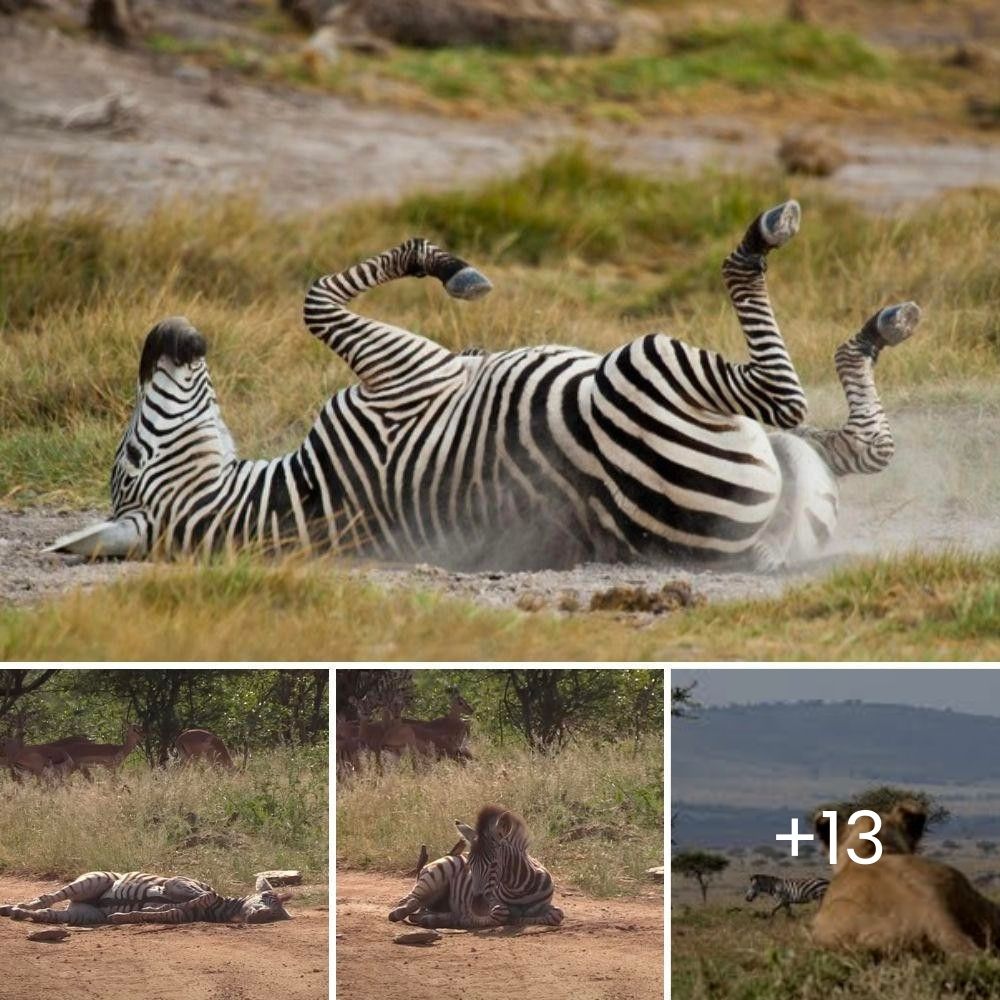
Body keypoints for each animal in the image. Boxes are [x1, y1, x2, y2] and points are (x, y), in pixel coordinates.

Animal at [47, 199, 920, 572]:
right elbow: (316, 300)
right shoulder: (400, 374)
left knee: (857, 445)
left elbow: (321, 298)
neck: (292, 504)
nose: (161, 334)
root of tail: (743, 549)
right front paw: (451, 269)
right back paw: (774, 243)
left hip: (782, 461)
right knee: (786, 395)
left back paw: (874, 331)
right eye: (132, 454)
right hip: (650, 368)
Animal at [388, 804, 564, 928]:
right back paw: (401, 913)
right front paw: (467, 919)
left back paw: (433, 918)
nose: (476, 906)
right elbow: (497, 915)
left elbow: (556, 915)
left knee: (420, 911)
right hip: (435, 876)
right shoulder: (493, 904)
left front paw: (523, 918)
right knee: (409, 901)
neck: (520, 890)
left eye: (494, 864)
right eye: (470, 864)